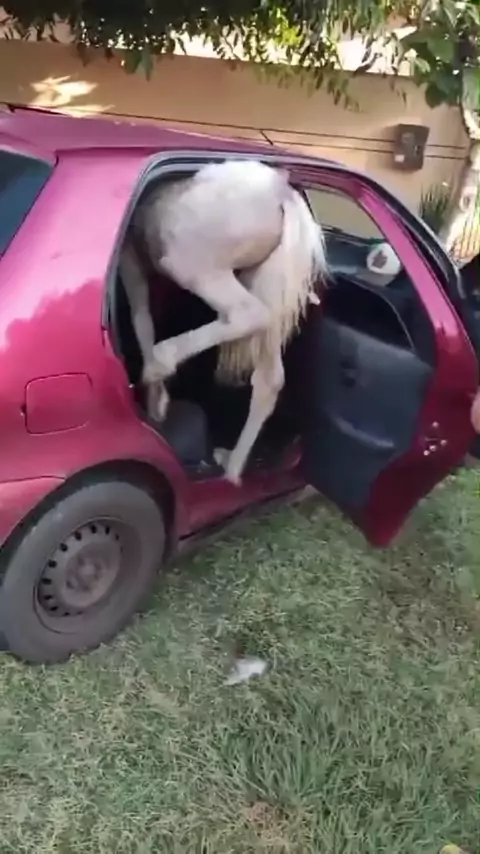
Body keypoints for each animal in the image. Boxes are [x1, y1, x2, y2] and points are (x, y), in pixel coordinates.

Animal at [119, 159, 328, 484]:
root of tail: (280, 192)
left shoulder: (132, 258)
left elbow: (141, 317)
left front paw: (156, 403)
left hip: (193, 267)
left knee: (245, 313)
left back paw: (159, 364)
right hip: (262, 280)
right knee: (270, 377)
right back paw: (231, 467)